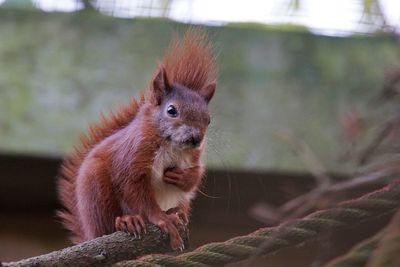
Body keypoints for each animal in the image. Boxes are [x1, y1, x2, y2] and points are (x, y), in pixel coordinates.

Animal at [57, 29, 216, 251]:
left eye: (208, 119)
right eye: (171, 110)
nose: (196, 138)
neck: (172, 145)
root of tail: (89, 233)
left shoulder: (194, 157)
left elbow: (196, 176)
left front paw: (183, 178)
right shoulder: (132, 158)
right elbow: (136, 191)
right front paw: (161, 219)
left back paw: (176, 213)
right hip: (96, 188)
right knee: (108, 224)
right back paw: (126, 221)